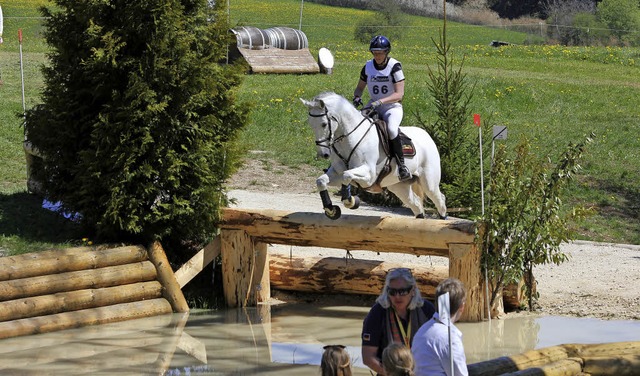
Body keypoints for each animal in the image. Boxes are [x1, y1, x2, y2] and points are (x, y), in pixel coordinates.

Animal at [300, 92, 444, 220]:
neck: (350, 137)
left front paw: (350, 201)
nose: (323, 154)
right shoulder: (336, 172)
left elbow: (347, 175)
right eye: (311, 124)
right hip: (398, 186)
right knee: (416, 205)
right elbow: (321, 181)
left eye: (324, 124)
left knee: (440, 200)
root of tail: (427, 135)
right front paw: (331, 210)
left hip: (429, 182)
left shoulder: (369, 175)